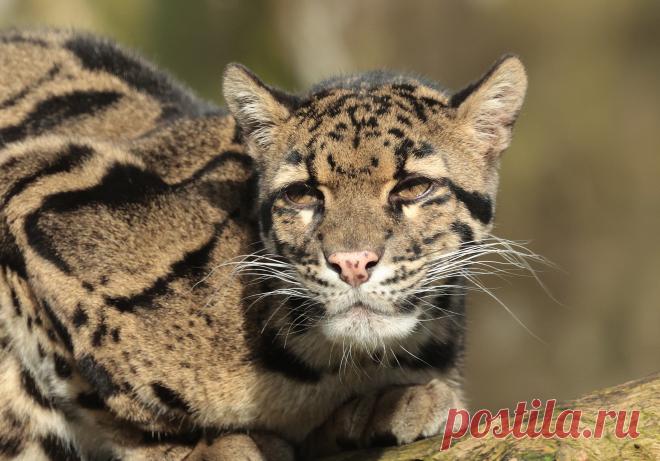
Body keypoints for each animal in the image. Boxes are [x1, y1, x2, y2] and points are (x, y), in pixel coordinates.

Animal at [0, 27, 527, 460]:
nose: (352, 263)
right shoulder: (33, 184)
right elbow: (109, 400)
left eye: (414, 187)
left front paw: (391, 403)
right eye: (302, 194)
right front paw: (200, 448)